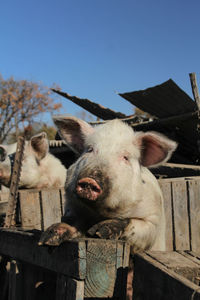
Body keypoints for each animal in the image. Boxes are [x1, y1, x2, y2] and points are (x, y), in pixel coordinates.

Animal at [39, 115, 177, 253]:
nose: (90, 180)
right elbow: (71, 221)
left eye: (125, 157)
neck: (100, 213)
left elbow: (132, 223)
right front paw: (46, 239)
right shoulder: (72, 206)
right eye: (90, 149)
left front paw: (98, 232)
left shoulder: (153, 220)